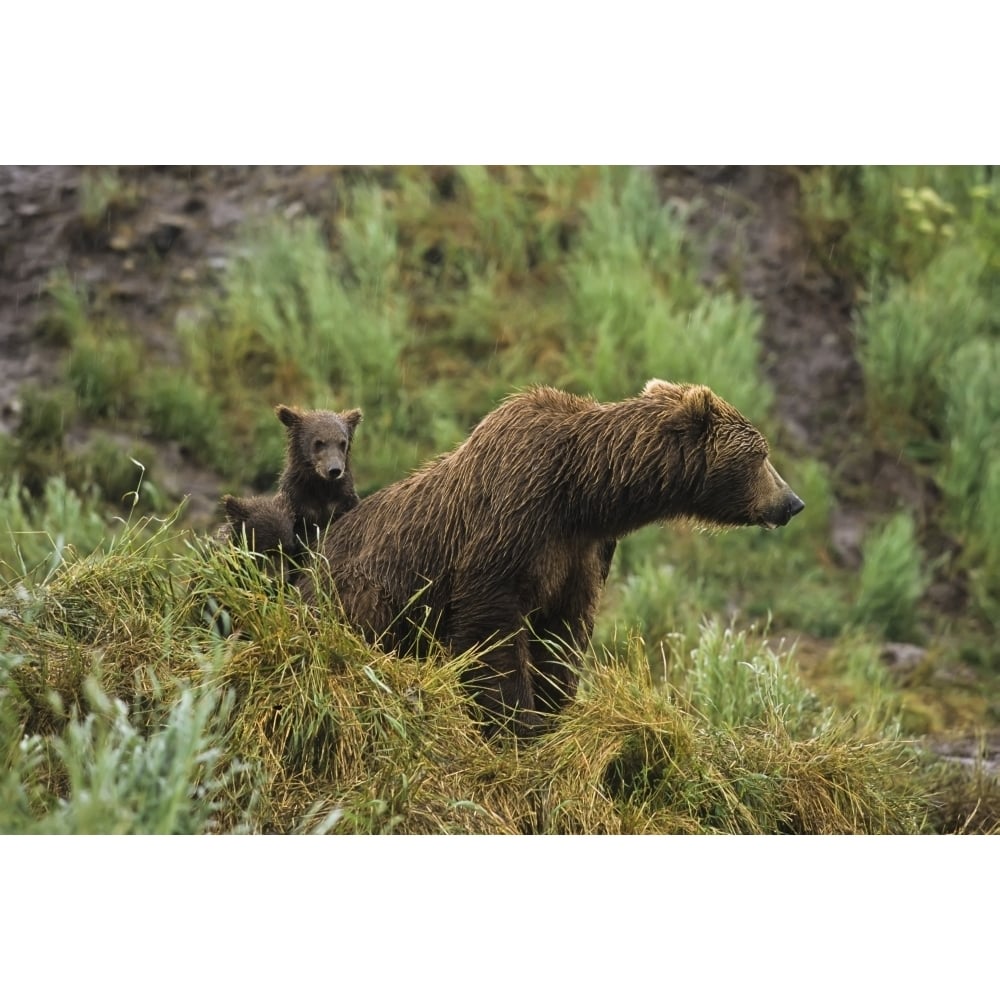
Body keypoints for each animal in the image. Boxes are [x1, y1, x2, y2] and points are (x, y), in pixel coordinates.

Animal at [302, 380, 804, 736]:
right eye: (761, 455)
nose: (793, 502)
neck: (582, 492)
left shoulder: (583, 551)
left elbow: (564, 633)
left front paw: (552, 709)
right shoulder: (512, 518)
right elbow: (493, 625)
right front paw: (516, 721)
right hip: (361, 588)